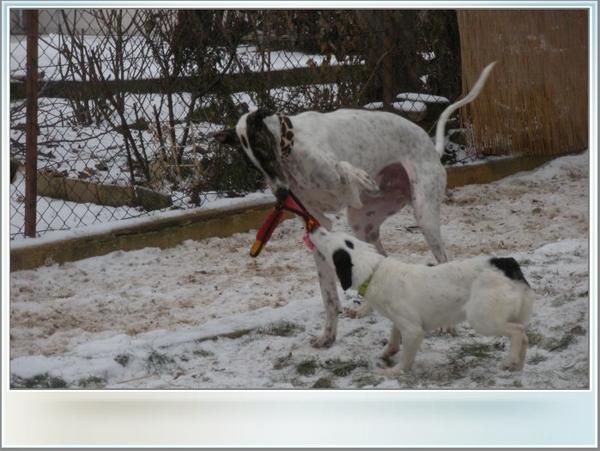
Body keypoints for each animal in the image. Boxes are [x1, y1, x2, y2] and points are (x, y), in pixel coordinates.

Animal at [213, 62, 494, 350]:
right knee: (378, 260)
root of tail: (432, 149)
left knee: (442, 260)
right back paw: (366, 308)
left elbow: (343, 168)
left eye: (264, 151)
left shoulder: (338, 190)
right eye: (252, 164)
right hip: (363, 224)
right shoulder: (318, 224)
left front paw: (358, 176)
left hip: (424, 215)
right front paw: (327, 336)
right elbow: (329, 295)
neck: (293, 145)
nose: (281, 195)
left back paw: (447, 324)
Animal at [310, 228, 536, 376]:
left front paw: (393, 372)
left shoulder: (413, 330)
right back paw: (518, 365)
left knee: (518, 331)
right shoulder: (401, 320)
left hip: (483, 320)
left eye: (327, 237)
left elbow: (406, 358)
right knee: (524, 337)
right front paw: (388, 352)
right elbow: (394, 335)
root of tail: (506, 264)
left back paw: (510, 361)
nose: (314, 227)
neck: (374, 271)